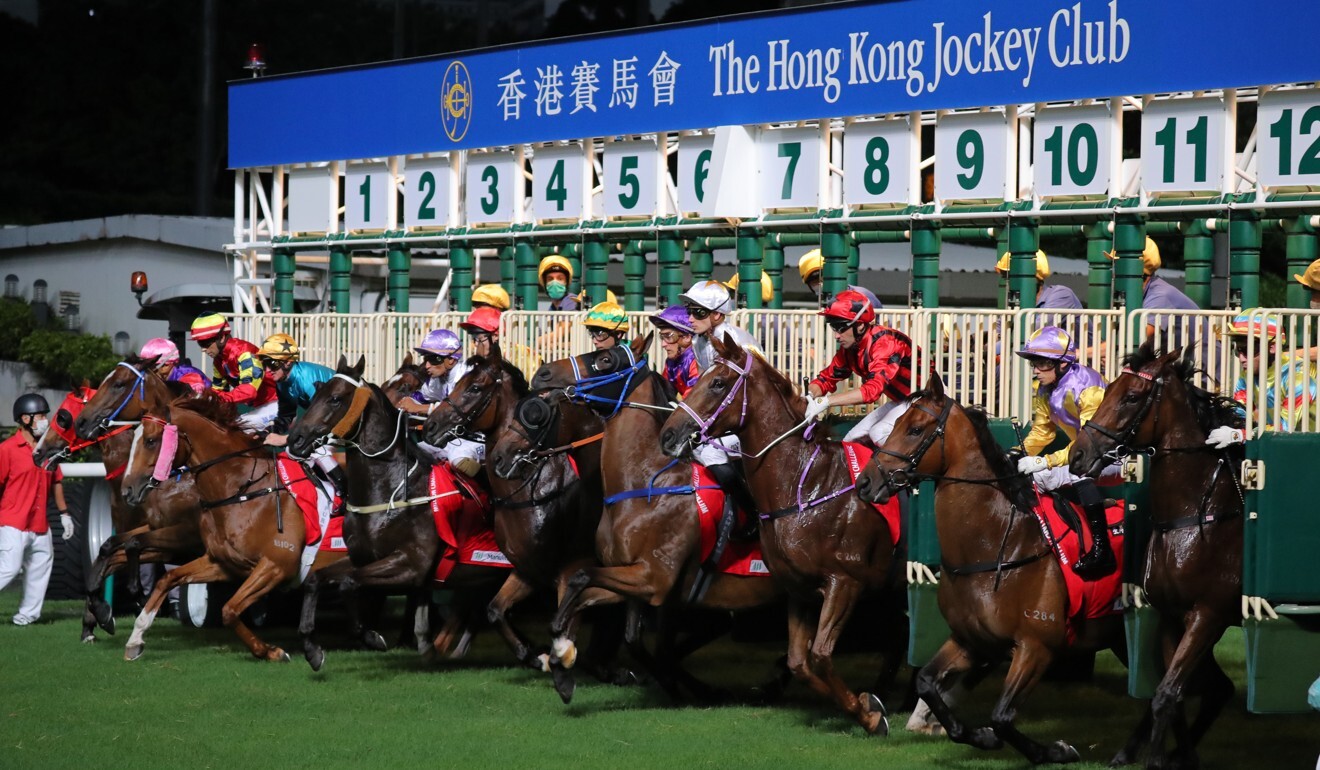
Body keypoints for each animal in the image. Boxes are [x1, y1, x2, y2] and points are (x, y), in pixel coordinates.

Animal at [118, 398, 343, 663]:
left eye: (151, 441)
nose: (127, 490)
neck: (242, 492)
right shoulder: (223, 563)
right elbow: (168, 579)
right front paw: (136, 638)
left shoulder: (277, 566)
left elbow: (230, 610)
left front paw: (271, 650)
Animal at [520, 340, 786, 707]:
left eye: (605, 359)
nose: (543, 373)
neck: (644, 485)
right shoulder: (634, 580)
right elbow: (626, 632)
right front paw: (562, 661)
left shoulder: (655, 579)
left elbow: (581, 577)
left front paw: (562, 652)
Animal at [660, 338, 897, 734]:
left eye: (718, 383)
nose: (668, 434)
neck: (803, 485)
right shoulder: (798, 586)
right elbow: (799, 662)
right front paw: (864, 705)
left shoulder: (845, 582)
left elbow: (820, 655)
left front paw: (870, 714)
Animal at [855, 372, 1124, 766]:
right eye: (898, 423)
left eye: (915, 429)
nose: (865, 482)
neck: (998, 544)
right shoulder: (972, 640)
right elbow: (927, 683)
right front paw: (976, 734)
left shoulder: (1036, 647)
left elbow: (1002, 716)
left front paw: (1057, 749)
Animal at [1066, 346, 1240, 770]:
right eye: (1109, 388)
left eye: (1131, 397)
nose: (1078, 454)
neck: (1194, 517)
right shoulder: (1171, 614)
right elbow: (1171, 696)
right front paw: (1171, 757)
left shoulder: (1209, 613)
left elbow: (1165, 694)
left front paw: (1159, 760)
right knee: (1220, 688)